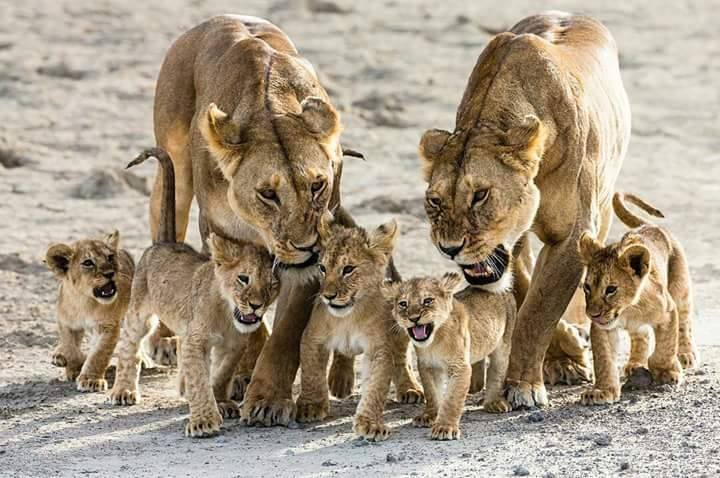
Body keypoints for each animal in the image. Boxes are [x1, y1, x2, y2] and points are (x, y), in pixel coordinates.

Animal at [152, 14, 366, 424]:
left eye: (317, 185)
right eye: (268, 194)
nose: (309, 247)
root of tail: (217, 18)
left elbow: (283, 333)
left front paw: (268, 398)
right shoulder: (219, 233)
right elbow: (244, 312)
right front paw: (245, 373)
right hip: (174, 167)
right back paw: (167, 341)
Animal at [420, 12, 628, 408]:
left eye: (480, 195)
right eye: (435, 201)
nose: (449, 249)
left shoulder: (573, 235)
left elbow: (538, 310)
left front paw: (524, 386)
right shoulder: (511, 244)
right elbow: (525, 294)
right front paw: (562, 355)